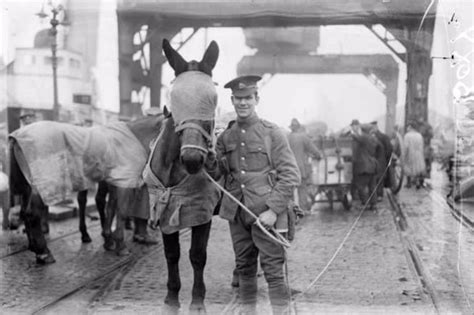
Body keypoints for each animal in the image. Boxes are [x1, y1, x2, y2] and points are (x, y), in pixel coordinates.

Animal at [8, 115, 164, 266]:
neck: (132, 138)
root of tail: (16, 136)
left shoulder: (114, 182)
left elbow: (111, 207)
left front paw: (109, 239)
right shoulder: (124, 183)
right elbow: (121, 212)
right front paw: (120, 245)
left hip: (29, 186)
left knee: (24, 212)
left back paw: (34, 246)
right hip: (44, 186)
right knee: (32, 213)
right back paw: (44, 252)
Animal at [143, 39, 220, 314]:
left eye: (212, 100)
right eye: (175, 99)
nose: (193, 159)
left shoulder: (201, 210)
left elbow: (197, 255)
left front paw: (197, 300)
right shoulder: (163, 206)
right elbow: (172, 254)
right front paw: (171, 297)